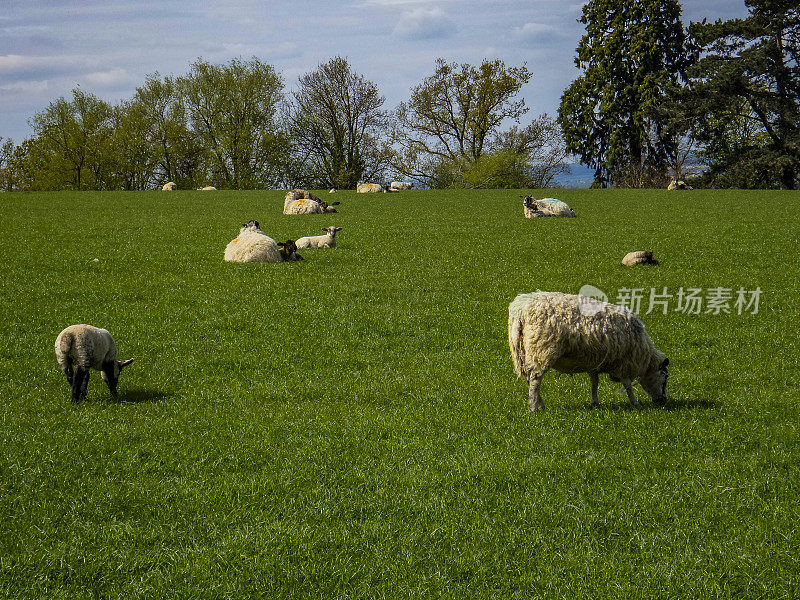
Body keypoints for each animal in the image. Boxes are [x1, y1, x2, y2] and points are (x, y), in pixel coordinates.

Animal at [506, 292, 668, 412]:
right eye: (664, 377)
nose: (663, 401)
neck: (645, 357)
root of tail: (520, 309)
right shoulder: (623, 361)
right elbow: (627, 384)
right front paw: (636, 403)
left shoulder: (595, 360)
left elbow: (594, 382)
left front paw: (595, 402)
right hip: (541, 350)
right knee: (535, 380)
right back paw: (534, 408)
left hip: (524, 352)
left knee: (530, 379)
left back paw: (539, 404)